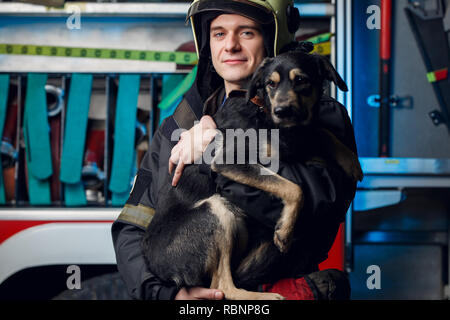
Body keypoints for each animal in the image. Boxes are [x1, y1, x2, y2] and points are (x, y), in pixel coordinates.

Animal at [142, 48, 364, 300]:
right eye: (270, 84)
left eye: (301, 80)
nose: (282, 111)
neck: (264, 111)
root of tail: (158, 268)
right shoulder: (230, 159)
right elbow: (294, 187)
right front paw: (285, 231)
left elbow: (321, 131)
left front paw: (351, 160)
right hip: (216, 210)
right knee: (223, 286)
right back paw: (265, 296)